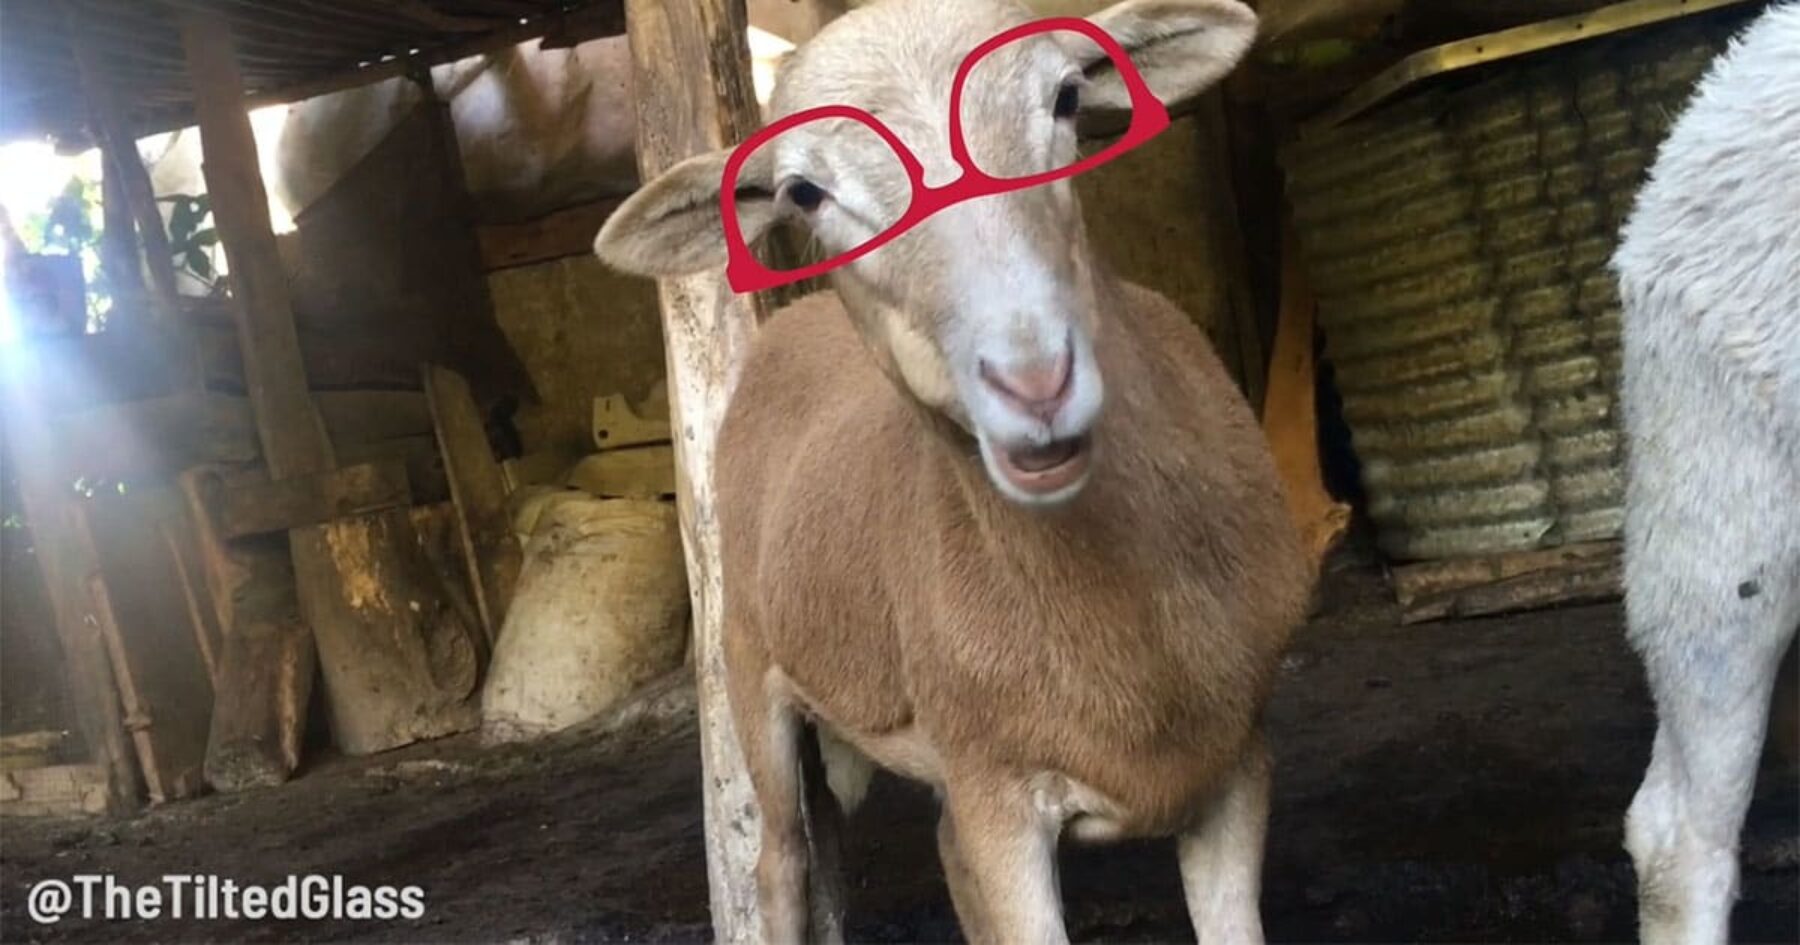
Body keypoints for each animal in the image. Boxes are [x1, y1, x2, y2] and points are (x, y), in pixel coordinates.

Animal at [595, 1, 1311, 941]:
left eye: (1068, 95)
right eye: (803, 192)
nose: (1034, 380)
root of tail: (794, 321)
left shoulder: (1239, 763)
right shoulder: (995, 791)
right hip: (749, 661)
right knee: (781, 861)